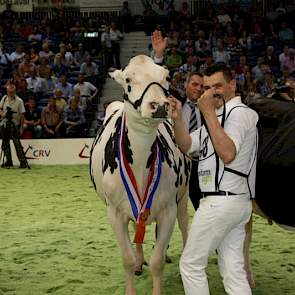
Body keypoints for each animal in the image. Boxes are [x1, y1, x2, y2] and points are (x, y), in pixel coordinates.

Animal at [90, 55, 191, 295]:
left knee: (184, 224)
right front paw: (134, 266)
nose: (160, 105)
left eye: (166, 77)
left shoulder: (168, 210)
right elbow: (126, 259)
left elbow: (157, 262)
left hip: (183, 196)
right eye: (128, 79)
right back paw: (139, 261)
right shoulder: (115, 213)